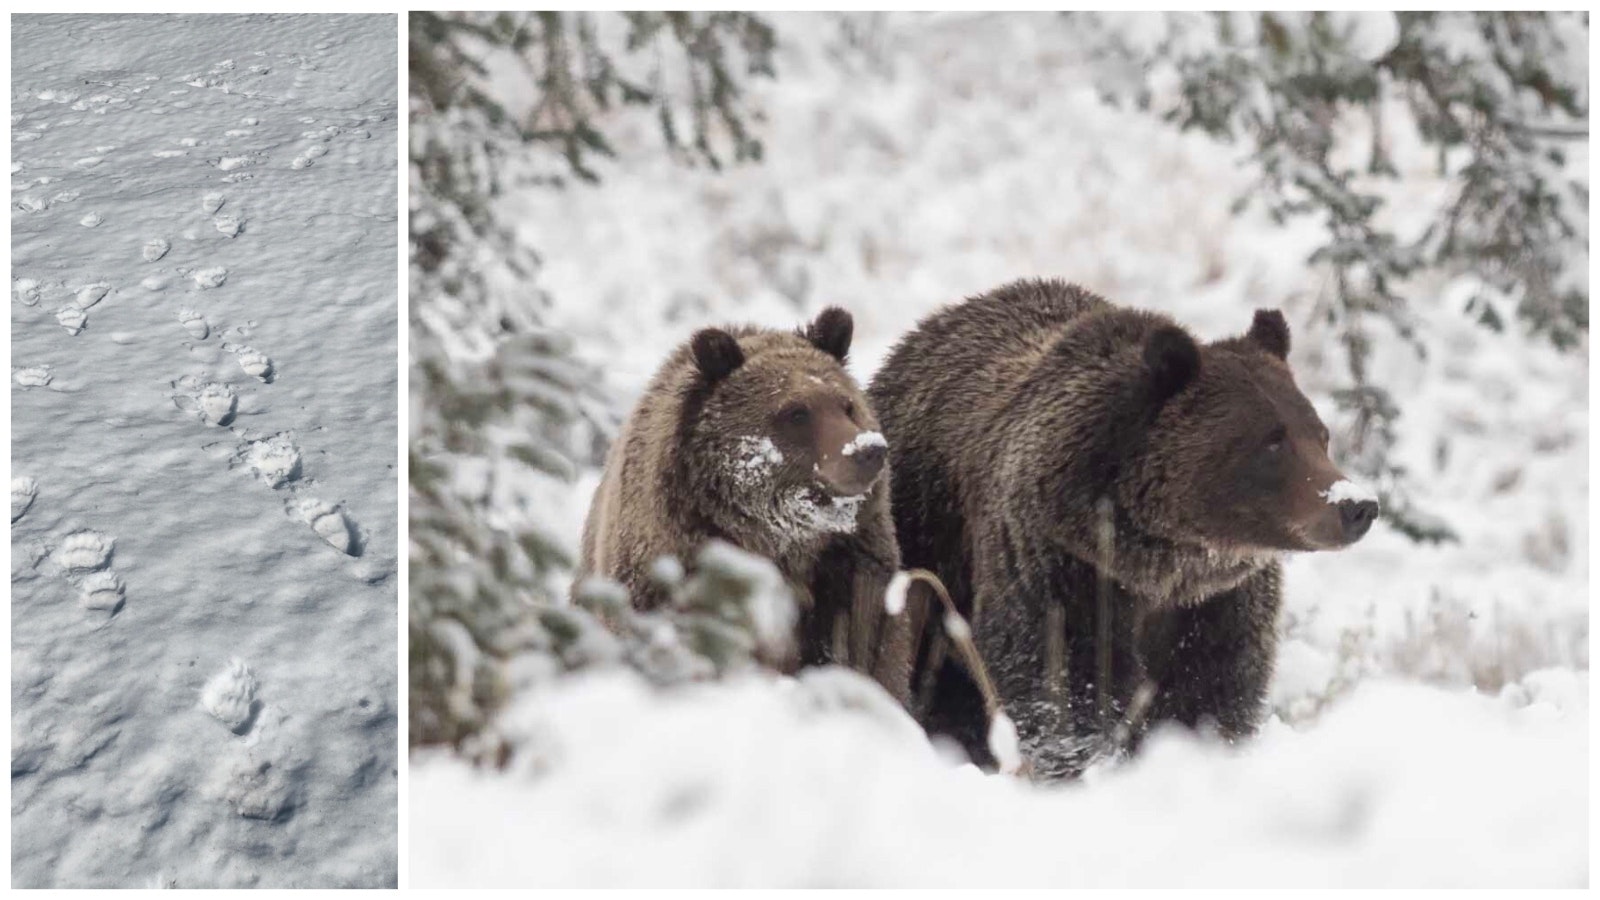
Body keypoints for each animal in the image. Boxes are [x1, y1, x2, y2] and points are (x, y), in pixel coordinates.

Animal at [868, 278, 1378, 779]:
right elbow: (1065, 687)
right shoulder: (1060, 568)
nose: (1357, 506)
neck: (1159, 564)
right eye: (1271, 441)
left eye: (1320, 434)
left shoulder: (1218, 605)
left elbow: (1210, 695)